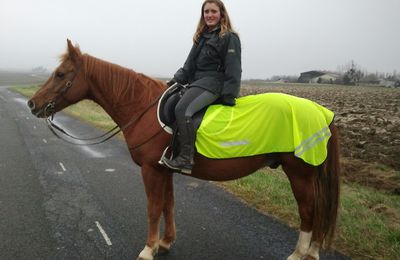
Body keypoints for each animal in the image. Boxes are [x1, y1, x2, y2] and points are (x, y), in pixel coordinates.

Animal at [27, 39, 340, 260]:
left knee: (309, 211)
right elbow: (169, 205)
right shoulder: (164, 169)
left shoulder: (151, 171)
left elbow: (154, 208)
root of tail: (322, 111)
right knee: (318, 213)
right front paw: (165, 243)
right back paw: (312, 252)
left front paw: (148, 249)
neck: (141, 107)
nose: (32, 104)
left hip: (300, 174)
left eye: (60, 74)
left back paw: (299, 254)